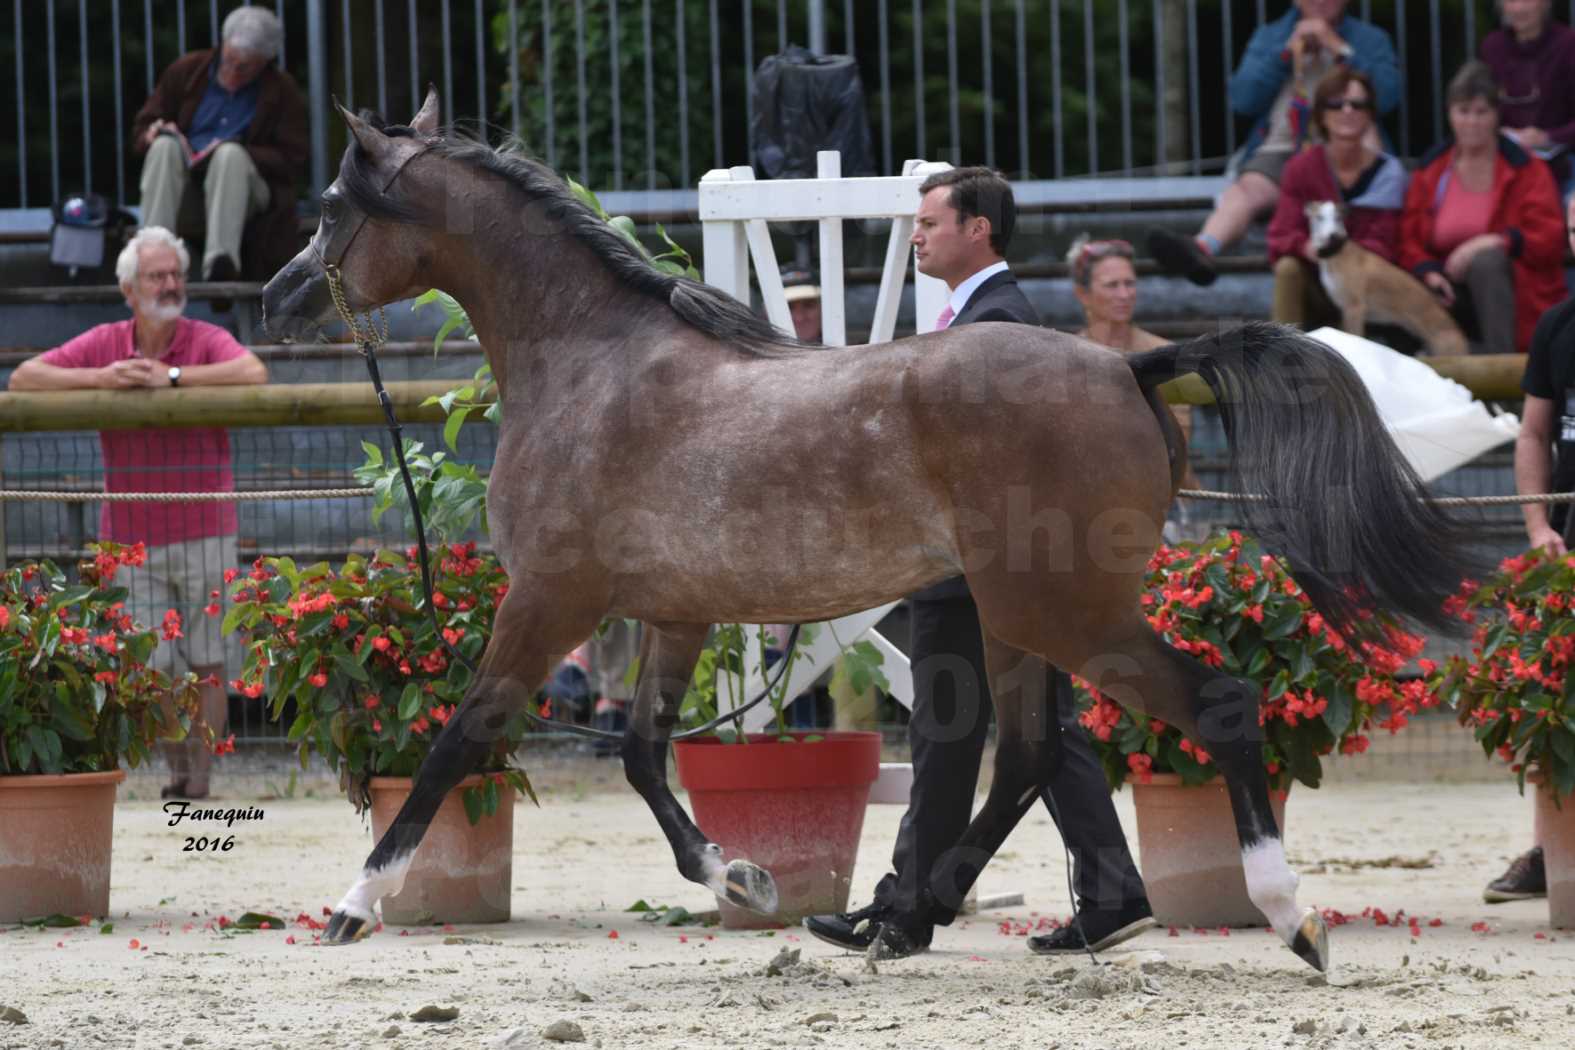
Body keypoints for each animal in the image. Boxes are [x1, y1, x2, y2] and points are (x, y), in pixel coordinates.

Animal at [1304, 199, 1461, 358]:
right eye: (1319, 217)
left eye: (1338, 217)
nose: (1333, 236)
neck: (1337, 255)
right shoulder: (1345, 310)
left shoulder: (1355, 308)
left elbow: (1354, 334)